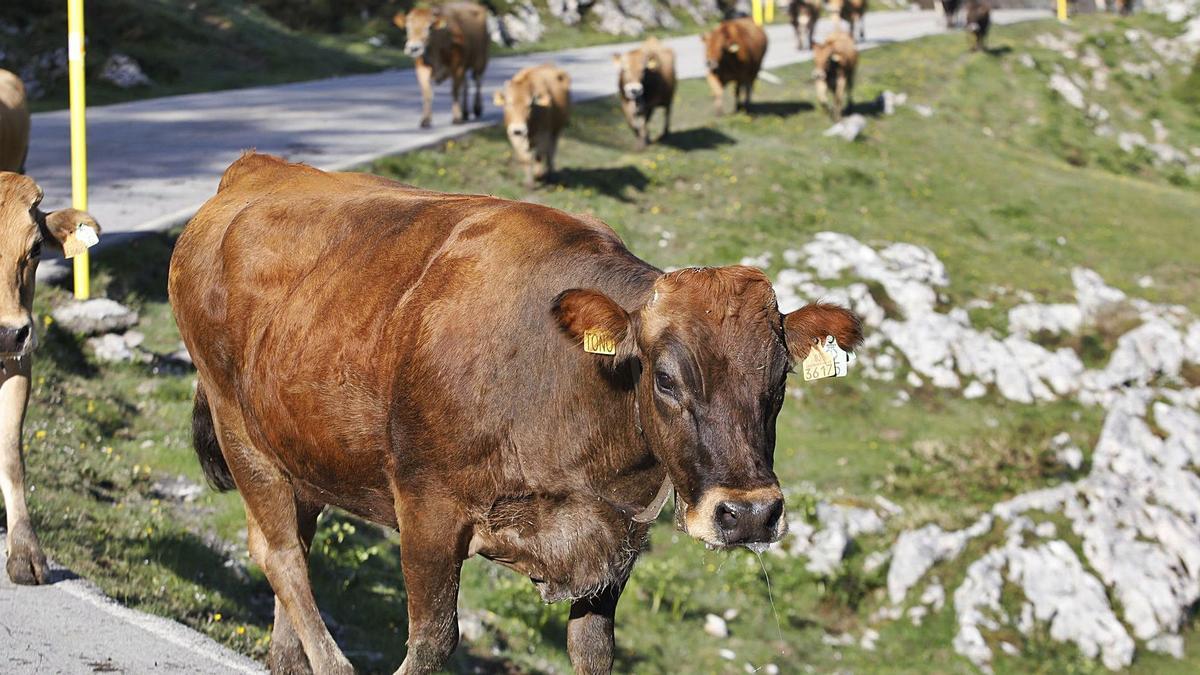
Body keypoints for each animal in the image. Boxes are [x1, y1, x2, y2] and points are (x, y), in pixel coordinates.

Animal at [166, 152, 864, 672]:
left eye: (778, 378)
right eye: (666, 379)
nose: (749, 514)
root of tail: (256, 170)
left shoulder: (612, 543)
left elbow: (593, 653)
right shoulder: (427, 508)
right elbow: (432, 642)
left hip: (300, 451)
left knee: (295, 572)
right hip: (238, 428)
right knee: (280, 555)